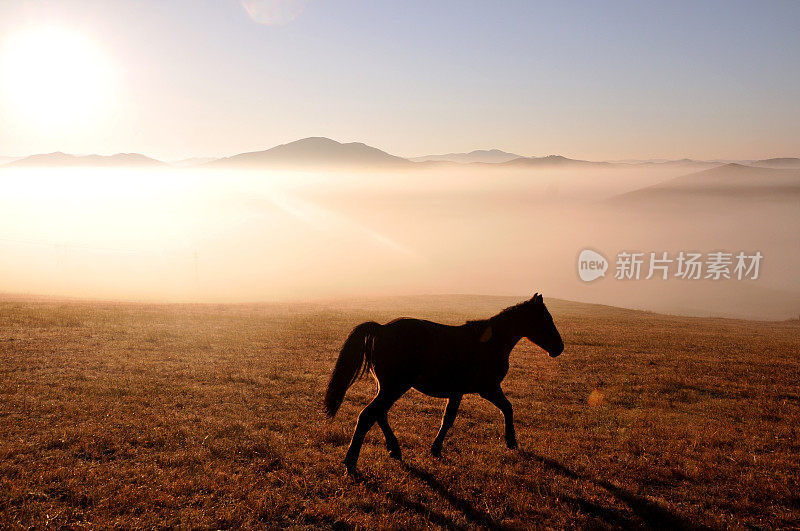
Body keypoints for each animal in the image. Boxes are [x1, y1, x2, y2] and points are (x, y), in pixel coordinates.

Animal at [324, 294, 564, 476]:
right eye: (546, 319)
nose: (559, 347)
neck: (491, 342)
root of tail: (381, 328)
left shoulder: (457, 392)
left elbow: (448, 419)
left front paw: (436, 449)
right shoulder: (488, 389)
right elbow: (507, 408)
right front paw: (511, 441)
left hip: (388, 388)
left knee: (379, 414)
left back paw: (394, 450)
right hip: (394, 387)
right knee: (368, 415)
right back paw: (351, 464)